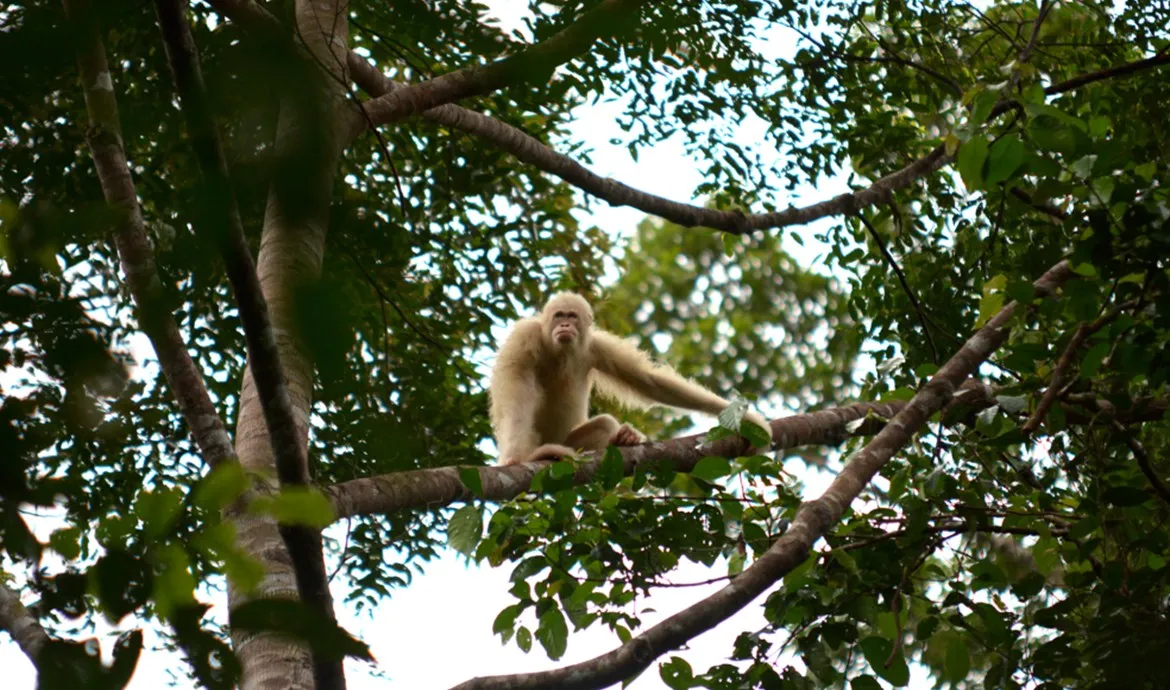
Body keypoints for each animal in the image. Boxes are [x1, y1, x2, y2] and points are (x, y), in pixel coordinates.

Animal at [489, 292, 772, 465]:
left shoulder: (598, 347)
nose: (565, 326)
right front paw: (515, 458)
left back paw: (623, 438)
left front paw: (748, 419)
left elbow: (649, 382)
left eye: (572, 316)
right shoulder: (525, 338)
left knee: (604, 424)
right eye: (559, 315)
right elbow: (517, 390)